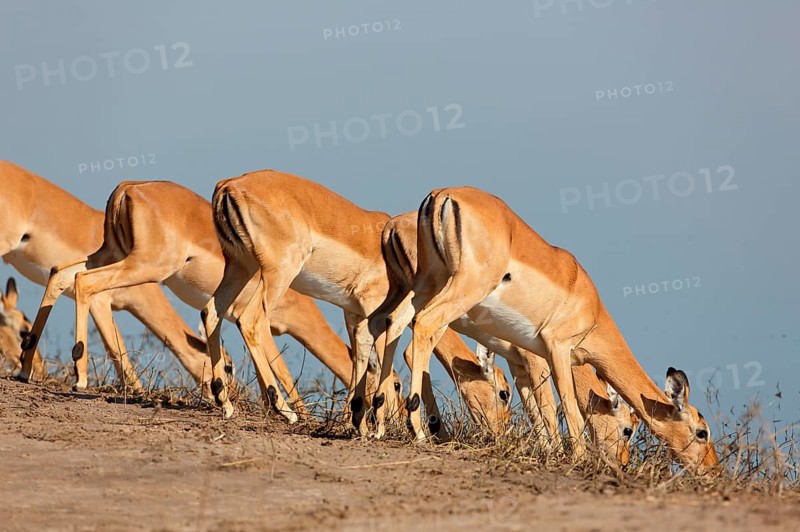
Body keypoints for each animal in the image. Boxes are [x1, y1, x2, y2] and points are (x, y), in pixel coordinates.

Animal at [202, 170, 512, 438]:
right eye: (504, 392)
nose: (502, 431)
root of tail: (230, 185)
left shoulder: (353, 313)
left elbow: (359, 361)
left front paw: (359, 424)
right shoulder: (379, 312)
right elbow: (397, 361)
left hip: (239, 266)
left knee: (211, 313)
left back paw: (224, 401)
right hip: (275, 274)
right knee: (249, 320)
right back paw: (285, 411)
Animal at [404, 186, 718, 472]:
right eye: (702, 432)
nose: (712, 470)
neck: (590, 306)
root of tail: (442, 194)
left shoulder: (523, 362)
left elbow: (537, 409)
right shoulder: (555, 350)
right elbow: (566, 409)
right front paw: (576, 459)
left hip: (420, 291)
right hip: (458, 294)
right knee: (423, 327)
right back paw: (418, 431)